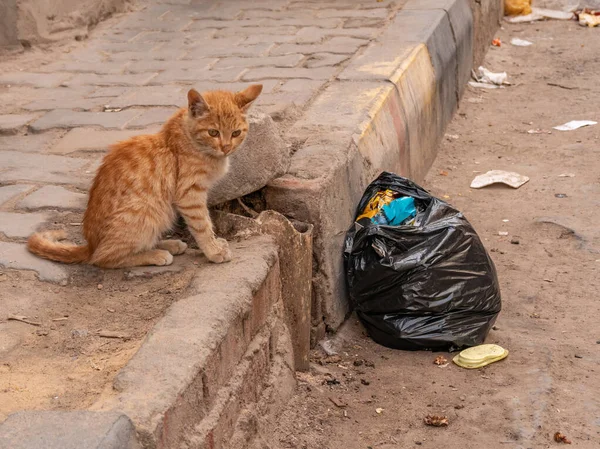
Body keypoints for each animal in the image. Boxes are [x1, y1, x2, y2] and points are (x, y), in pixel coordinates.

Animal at [27, 83, 262, 266]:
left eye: (236, 133)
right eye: (213, 132)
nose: (226, 147)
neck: (188, 139)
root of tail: (90, 245)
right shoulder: (190, 195)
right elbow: (202, 224)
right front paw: (213, 250)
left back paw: (168, 244)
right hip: (146, 211)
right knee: (104, 258)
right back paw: (155, 254)